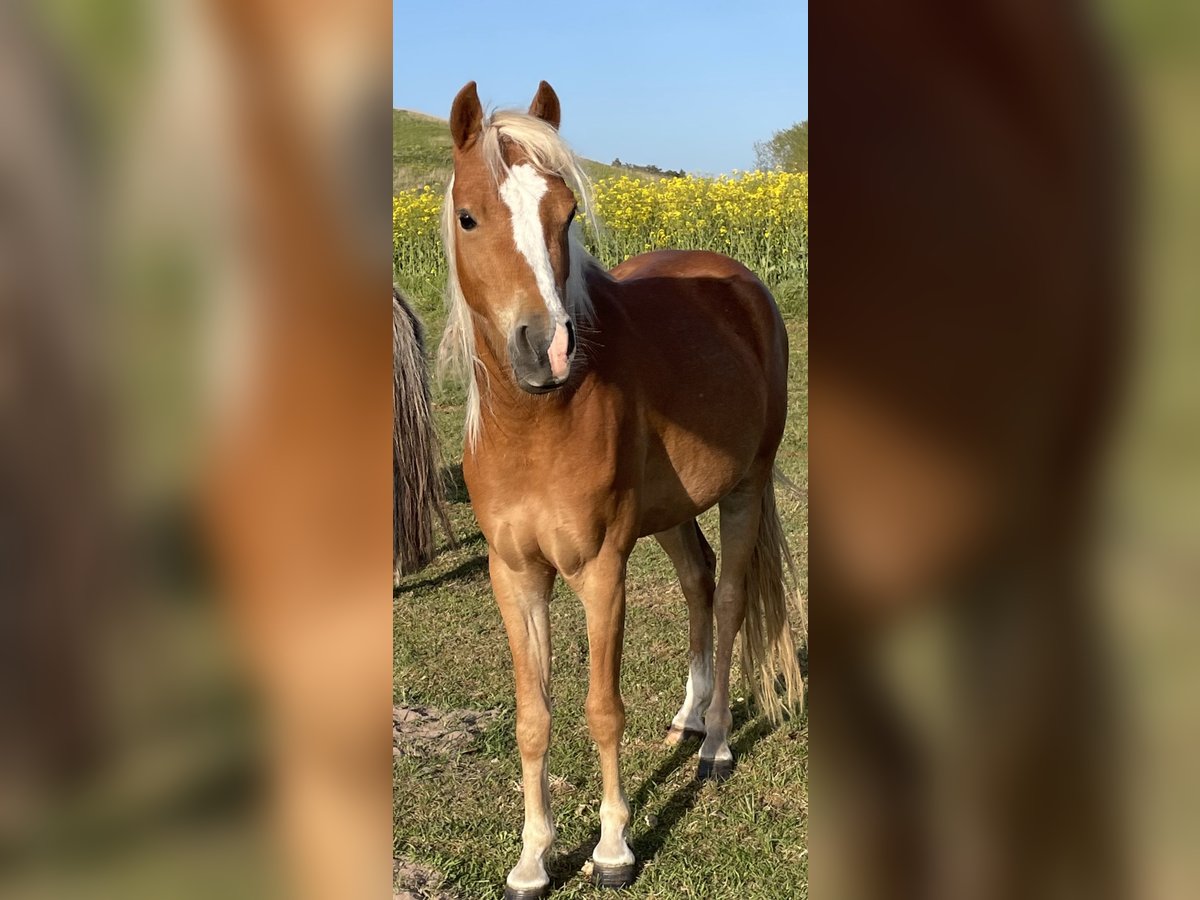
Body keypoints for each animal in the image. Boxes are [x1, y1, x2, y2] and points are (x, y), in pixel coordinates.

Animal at [441, 81, 806, 897]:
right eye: (468, 215)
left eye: (566, 213)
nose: (546, 348)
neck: (535, 426)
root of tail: (741, 283)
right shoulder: (514, 574)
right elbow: (533, 716)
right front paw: (532, 858)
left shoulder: (602, 568)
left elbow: (602, 709)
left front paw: (612, 849)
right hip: (671, 510)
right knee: (700, 582)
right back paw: (692, 718)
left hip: (744, 487)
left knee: (729, 599)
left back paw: (716, 745)